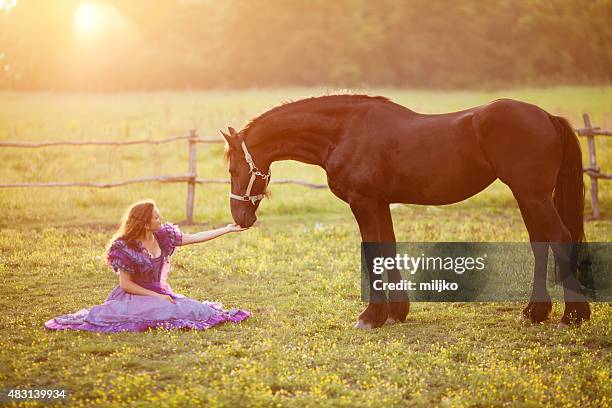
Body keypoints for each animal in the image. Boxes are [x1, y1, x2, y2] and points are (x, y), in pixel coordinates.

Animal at [220, 95, 588, 328]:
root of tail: (547, 117)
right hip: (528, 196)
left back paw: (573, 316)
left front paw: (371, 316)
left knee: (559, 237)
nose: (240, 218)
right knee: (540, 243)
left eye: (234, 168)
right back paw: (535, 312)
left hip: (533, 195)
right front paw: (396, 312)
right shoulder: (380, 203)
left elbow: (372, 252)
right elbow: (388, 250)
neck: (344, 131)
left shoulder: (364, 203)